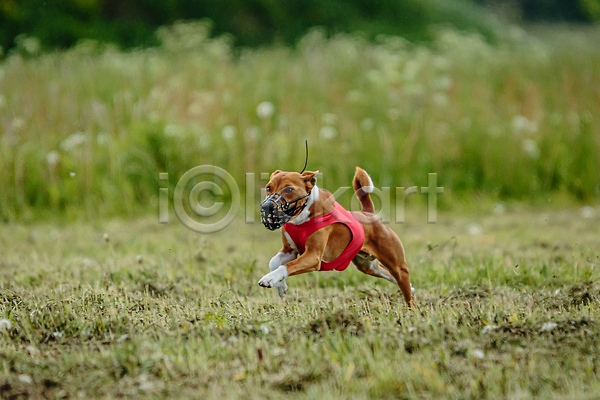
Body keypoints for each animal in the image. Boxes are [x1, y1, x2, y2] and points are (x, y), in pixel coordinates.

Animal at [258, 166, 418, 306]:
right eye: (268, 187)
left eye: (289, 189)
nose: (267, 206)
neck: (302, 219)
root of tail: (368, 213)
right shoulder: (289, 251)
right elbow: (274, 262)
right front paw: (280, 286)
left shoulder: (313, 256)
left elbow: (286, 266)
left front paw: (268, 279)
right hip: (368, 266)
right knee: (389, 275)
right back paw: (412, 288)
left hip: (397, 267)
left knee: (407, 293)